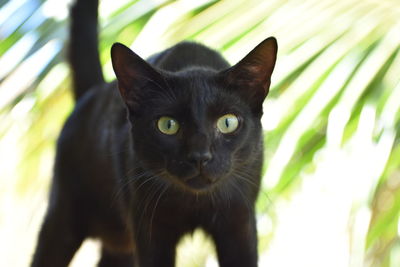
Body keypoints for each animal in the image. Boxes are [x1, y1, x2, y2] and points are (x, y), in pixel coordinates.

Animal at [31, 0, 276, 267]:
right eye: (168, 125)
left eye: (228, 123)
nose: (200, 156)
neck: (194, 202)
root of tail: (93, 92)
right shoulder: (150, 229)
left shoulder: (239, 223)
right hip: (64, 219)